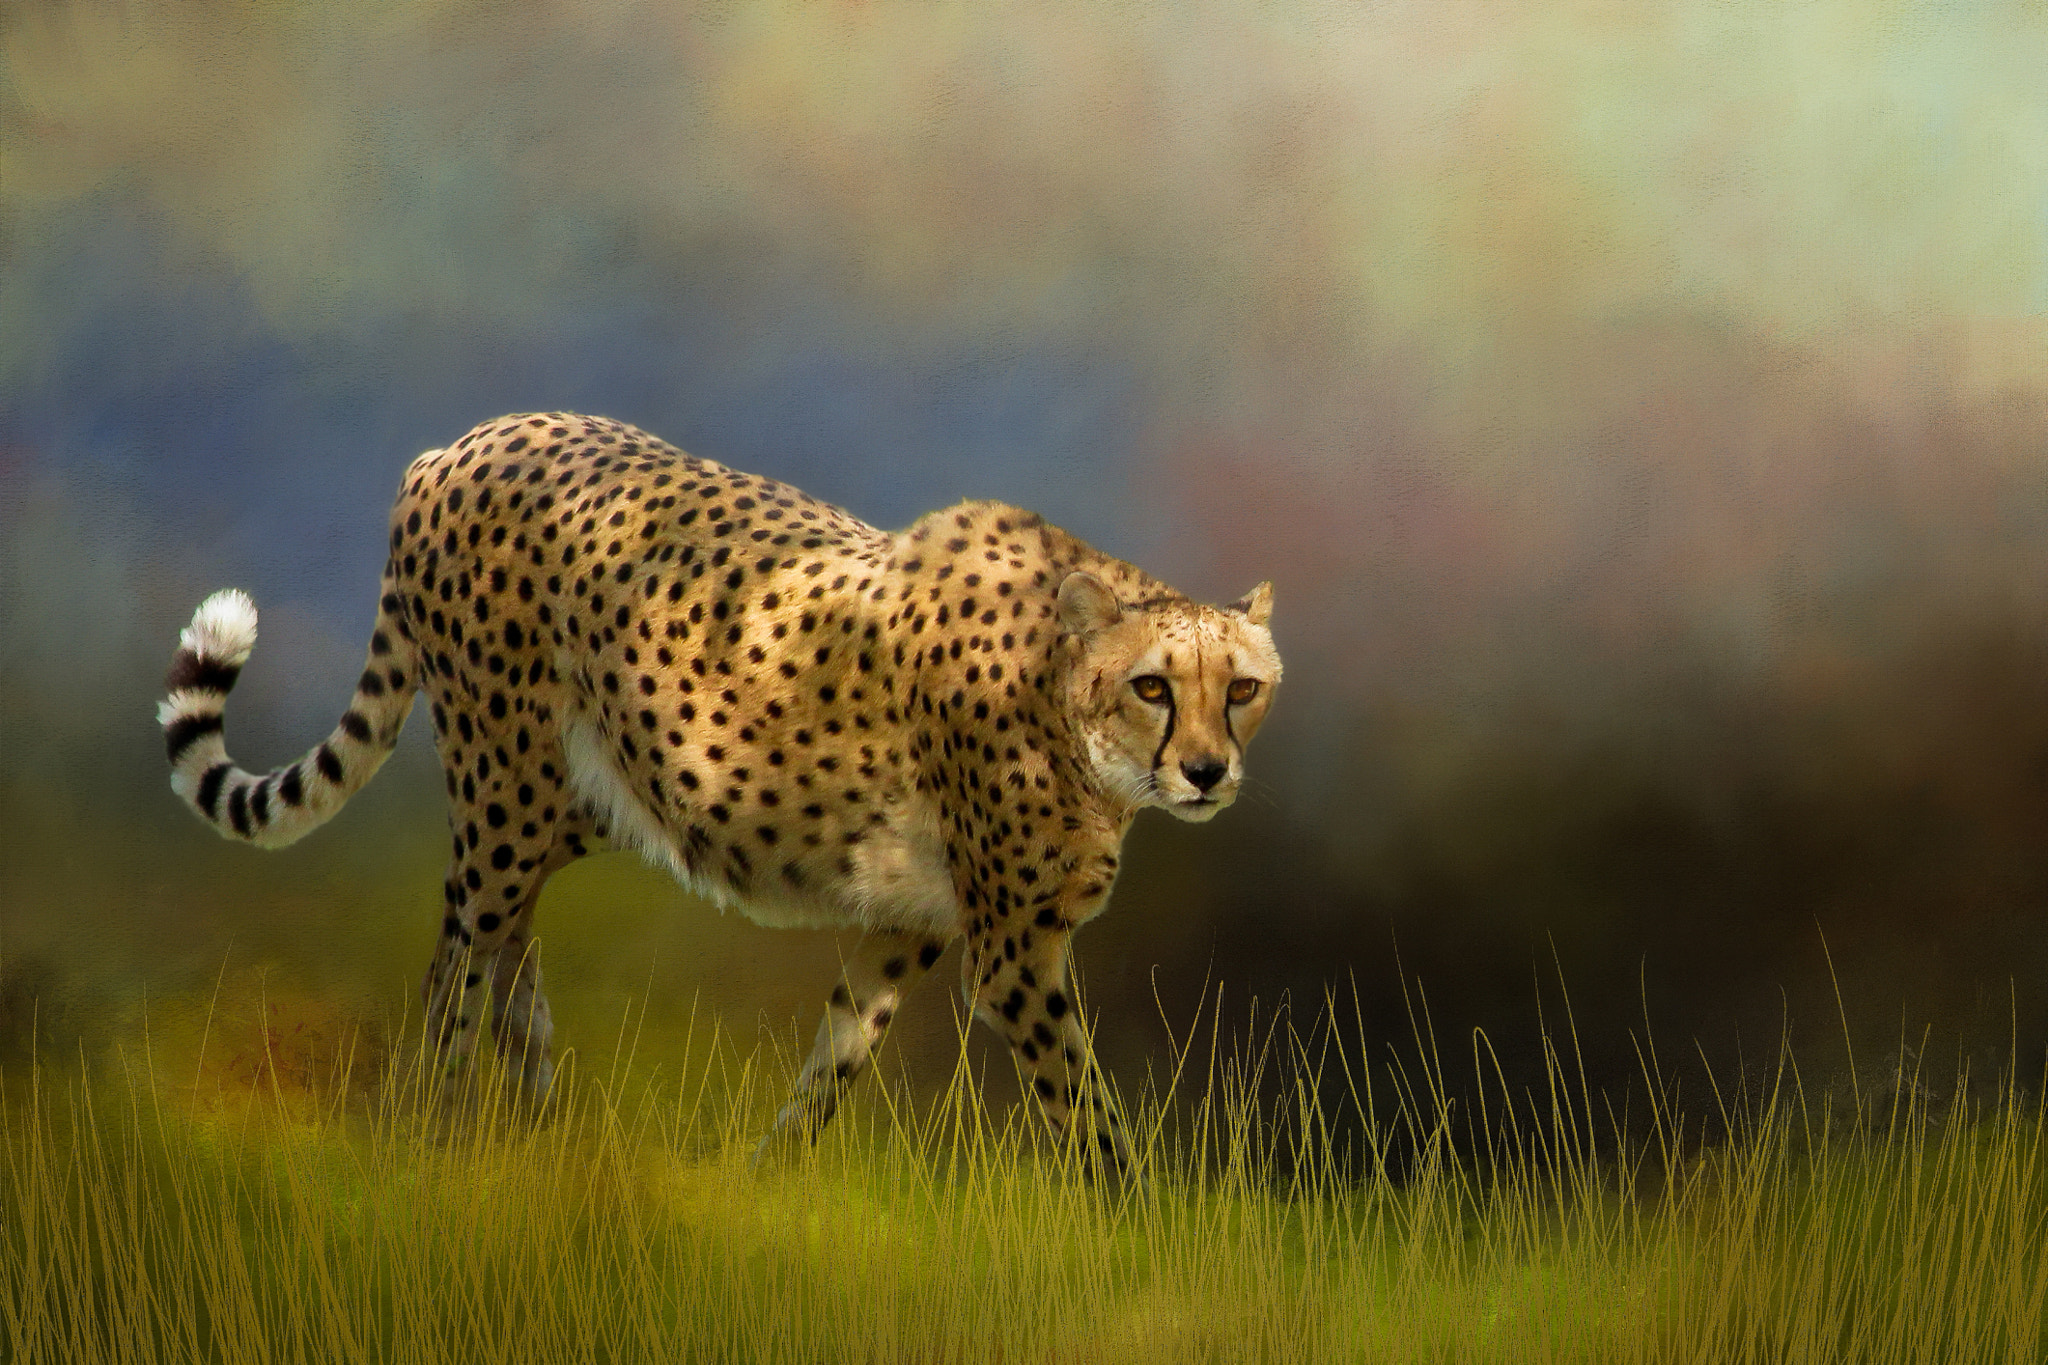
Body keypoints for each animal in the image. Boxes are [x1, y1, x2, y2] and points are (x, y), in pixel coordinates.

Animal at [158, 412, 1281, 1170]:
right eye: (1151, 687)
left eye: (1243, 689)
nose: (1206, 771)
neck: (1071, 715)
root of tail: (465, 442)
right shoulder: (1012, 953)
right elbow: (1089, 1113)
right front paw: (1141, 1229)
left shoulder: (907, 924)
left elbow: (833, 1063)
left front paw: (761, 1183)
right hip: (504, 781)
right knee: (456, 966)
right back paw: (431, 1144)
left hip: (569, 800)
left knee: (502, 940)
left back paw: (542, 1139)